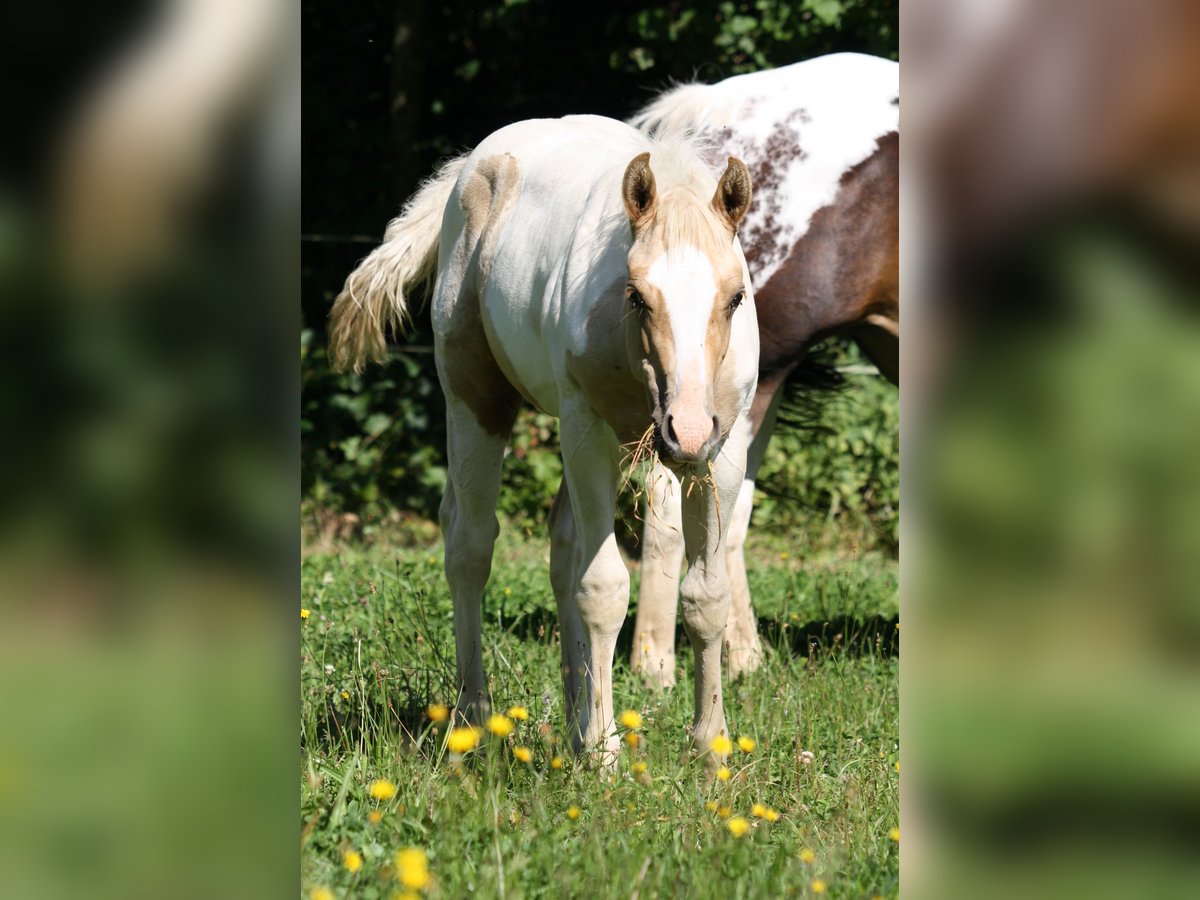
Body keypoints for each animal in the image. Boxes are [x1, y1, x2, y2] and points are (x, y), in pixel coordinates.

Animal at [326, 118, 758, 768]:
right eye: (637, 295)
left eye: (734, 298)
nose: (684, 430)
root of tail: (467, 168)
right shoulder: (587, 430)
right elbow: (603, 588)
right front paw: (605, 755)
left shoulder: (721, 452)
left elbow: (706, 597)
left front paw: (712, 754)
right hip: (476, 399)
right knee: (470, 544)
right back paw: (474, 719)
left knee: (563, 544)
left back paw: (574, 724)